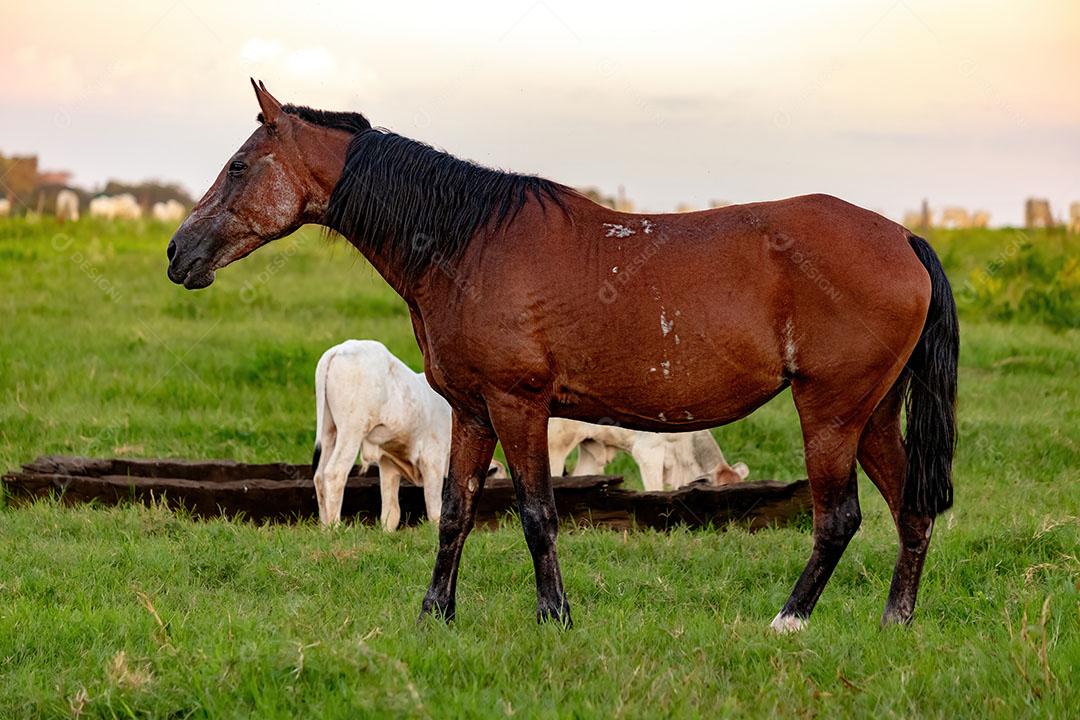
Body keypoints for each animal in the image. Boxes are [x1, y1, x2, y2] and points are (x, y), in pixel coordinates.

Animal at [308, 341, 501, 533]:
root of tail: (339, 350)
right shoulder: (433, 459)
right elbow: (435, 510)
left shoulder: (388, 464)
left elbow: (390, 514)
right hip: (351, 430)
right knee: (334, 473)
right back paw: (335, 527)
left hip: (329, 429)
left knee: (319, 475)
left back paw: (324, 529)